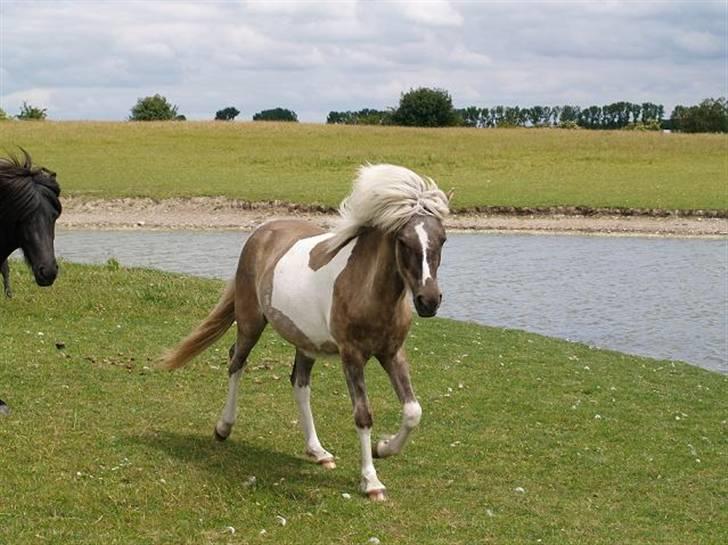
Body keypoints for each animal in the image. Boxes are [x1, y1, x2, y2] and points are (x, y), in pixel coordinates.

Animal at [163, 164, 450, 500]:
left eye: (443, 239)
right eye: (403, 241)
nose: (428, 301)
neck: (366, 289)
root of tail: (262, 231)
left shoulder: (392, 353)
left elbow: (413, 411)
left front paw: (382, 448)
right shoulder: (352, 356)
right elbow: (363, 415)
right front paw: (371, 482)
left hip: (306, 342)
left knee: (299, 385)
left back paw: (318, 452)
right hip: (250, 323)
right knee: (236, 362)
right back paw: (223, 427)